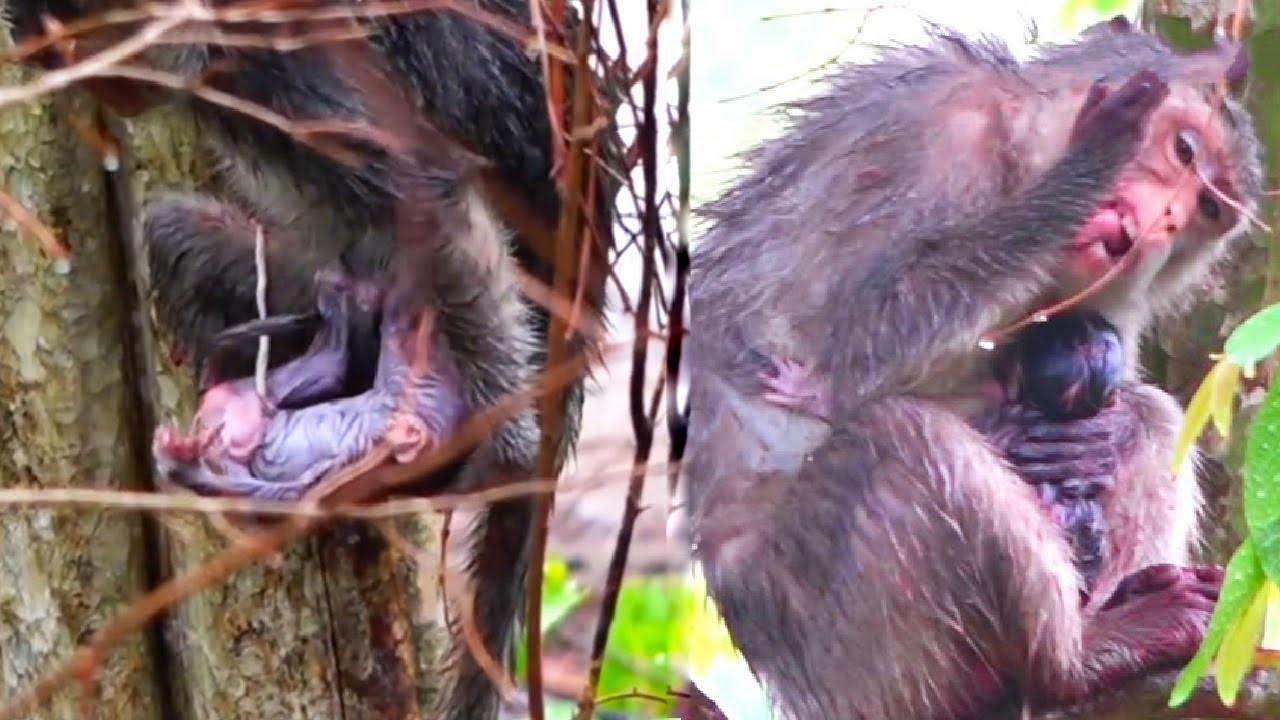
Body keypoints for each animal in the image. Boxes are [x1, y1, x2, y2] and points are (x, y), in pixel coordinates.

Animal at [684, 17, 1262, 720]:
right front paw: (1080, 173)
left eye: (1208, 208)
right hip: (851, 652)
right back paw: (1066, 667)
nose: (1168, 219)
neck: (1016, 149)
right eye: (1182, 149)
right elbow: (852, 344)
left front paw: (1092, 433)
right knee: (909, 437)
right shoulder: (928, 139)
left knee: (1153, 417)